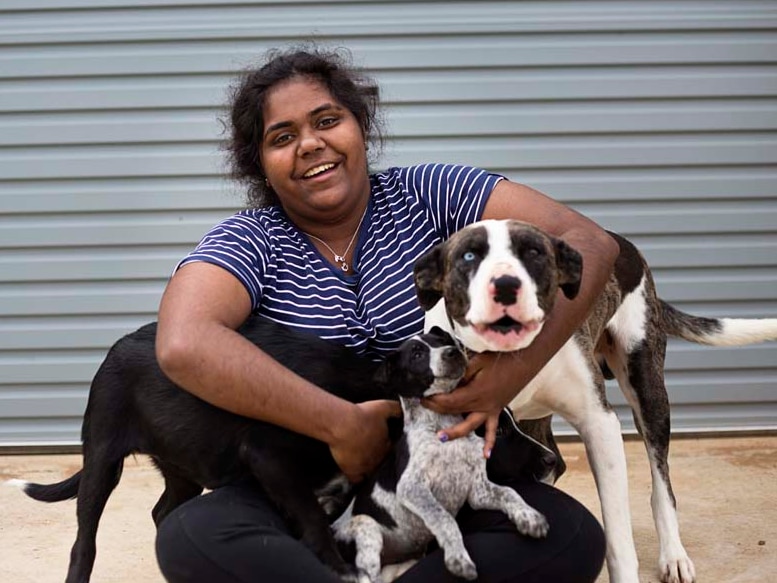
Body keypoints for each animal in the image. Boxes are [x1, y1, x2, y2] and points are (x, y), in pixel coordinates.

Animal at [336, 328, 548, 583]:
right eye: (417, 354)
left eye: (442, 341)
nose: (453, 351)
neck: (442, 425)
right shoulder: (412, 487)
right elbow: (444, 518)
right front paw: (459, 558)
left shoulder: (478, 490)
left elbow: (509, 492)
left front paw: (529, 516)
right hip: (366, 527)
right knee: (367, 575)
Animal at [412, 219, 776, 583]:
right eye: (469, 256)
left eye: (534, 253)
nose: (505, 285)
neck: (505, 358)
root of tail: (621, 242)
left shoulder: (599, 424)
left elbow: (618, 537)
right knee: (555, 461)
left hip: (647, 387)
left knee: (662, 485)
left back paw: (673, 554)